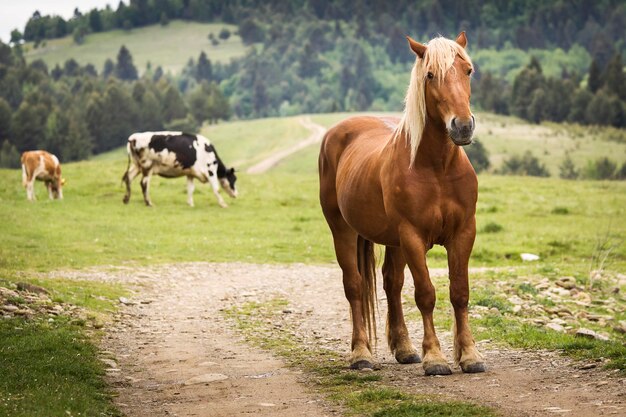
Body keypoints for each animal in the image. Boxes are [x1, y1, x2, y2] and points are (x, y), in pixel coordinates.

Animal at [316, 32, 482, 376]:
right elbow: (425, 294)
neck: (437, 169)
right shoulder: (413, 237)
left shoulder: (463, 233)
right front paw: (435, 358)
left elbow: (459, 293)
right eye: (430, 75)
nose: (462, 126)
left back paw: (405, 349)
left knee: (392, 284)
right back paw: (361, 353)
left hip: (394, 242)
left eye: (468, 70)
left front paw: (469, 355)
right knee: (354, 286)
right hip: (344, 231)